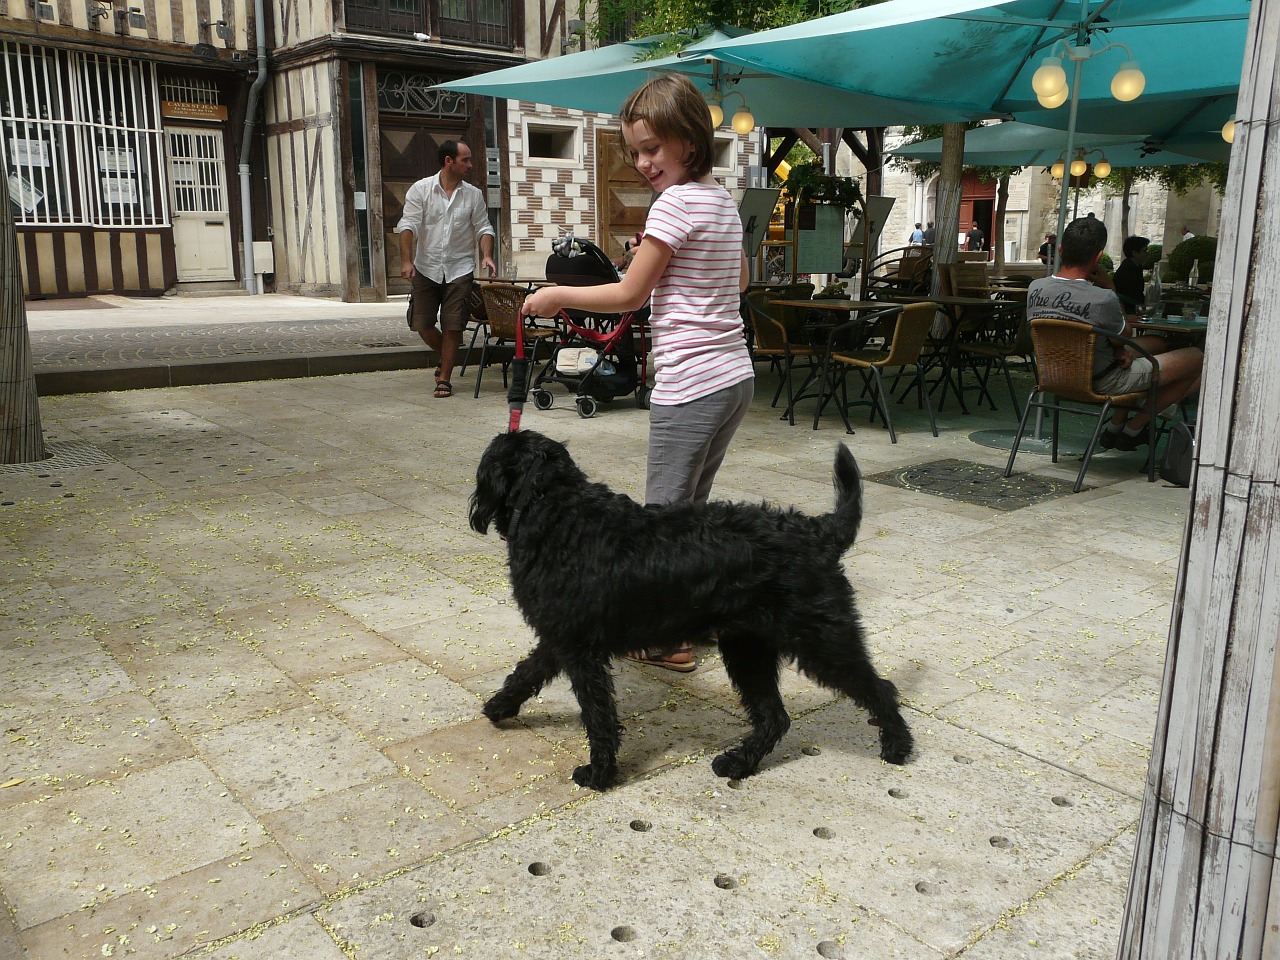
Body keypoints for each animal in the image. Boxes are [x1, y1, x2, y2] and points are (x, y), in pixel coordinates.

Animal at [471, 432, 911, 793]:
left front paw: (599, 773)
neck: (556, 510)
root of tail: (820, 532)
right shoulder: (560, 637)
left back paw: (898, 746)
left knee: (879, 688)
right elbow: (527, 671)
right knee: (774, 717)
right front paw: (499, 706)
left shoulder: (579, 651)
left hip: (821, 639)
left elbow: (597, 715)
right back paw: (738, 763)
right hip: (748, 648)